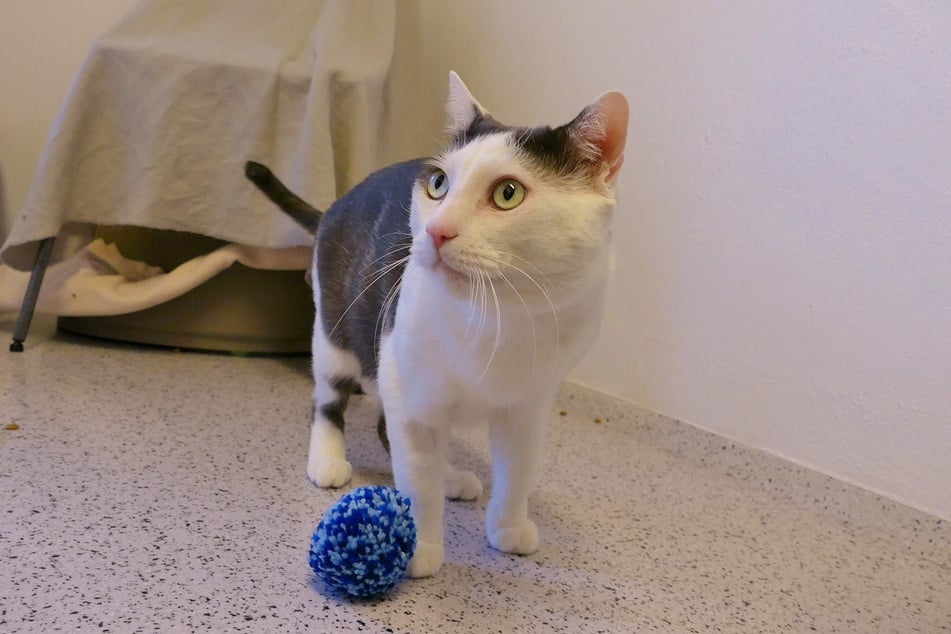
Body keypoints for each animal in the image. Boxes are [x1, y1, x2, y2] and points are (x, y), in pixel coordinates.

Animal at [249, 71, 628, 576]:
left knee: (390, 433)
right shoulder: (408, 387)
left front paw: (508, 526)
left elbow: (517, 472)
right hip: (336, 335)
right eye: (437, 184)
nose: (436, 230)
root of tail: (335, 204)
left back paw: (450, 477)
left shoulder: (528, 406)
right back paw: (328, 459)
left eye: (508, 193)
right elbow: (417, 479)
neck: (498, 316)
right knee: (329, 401)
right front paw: (421, 548)